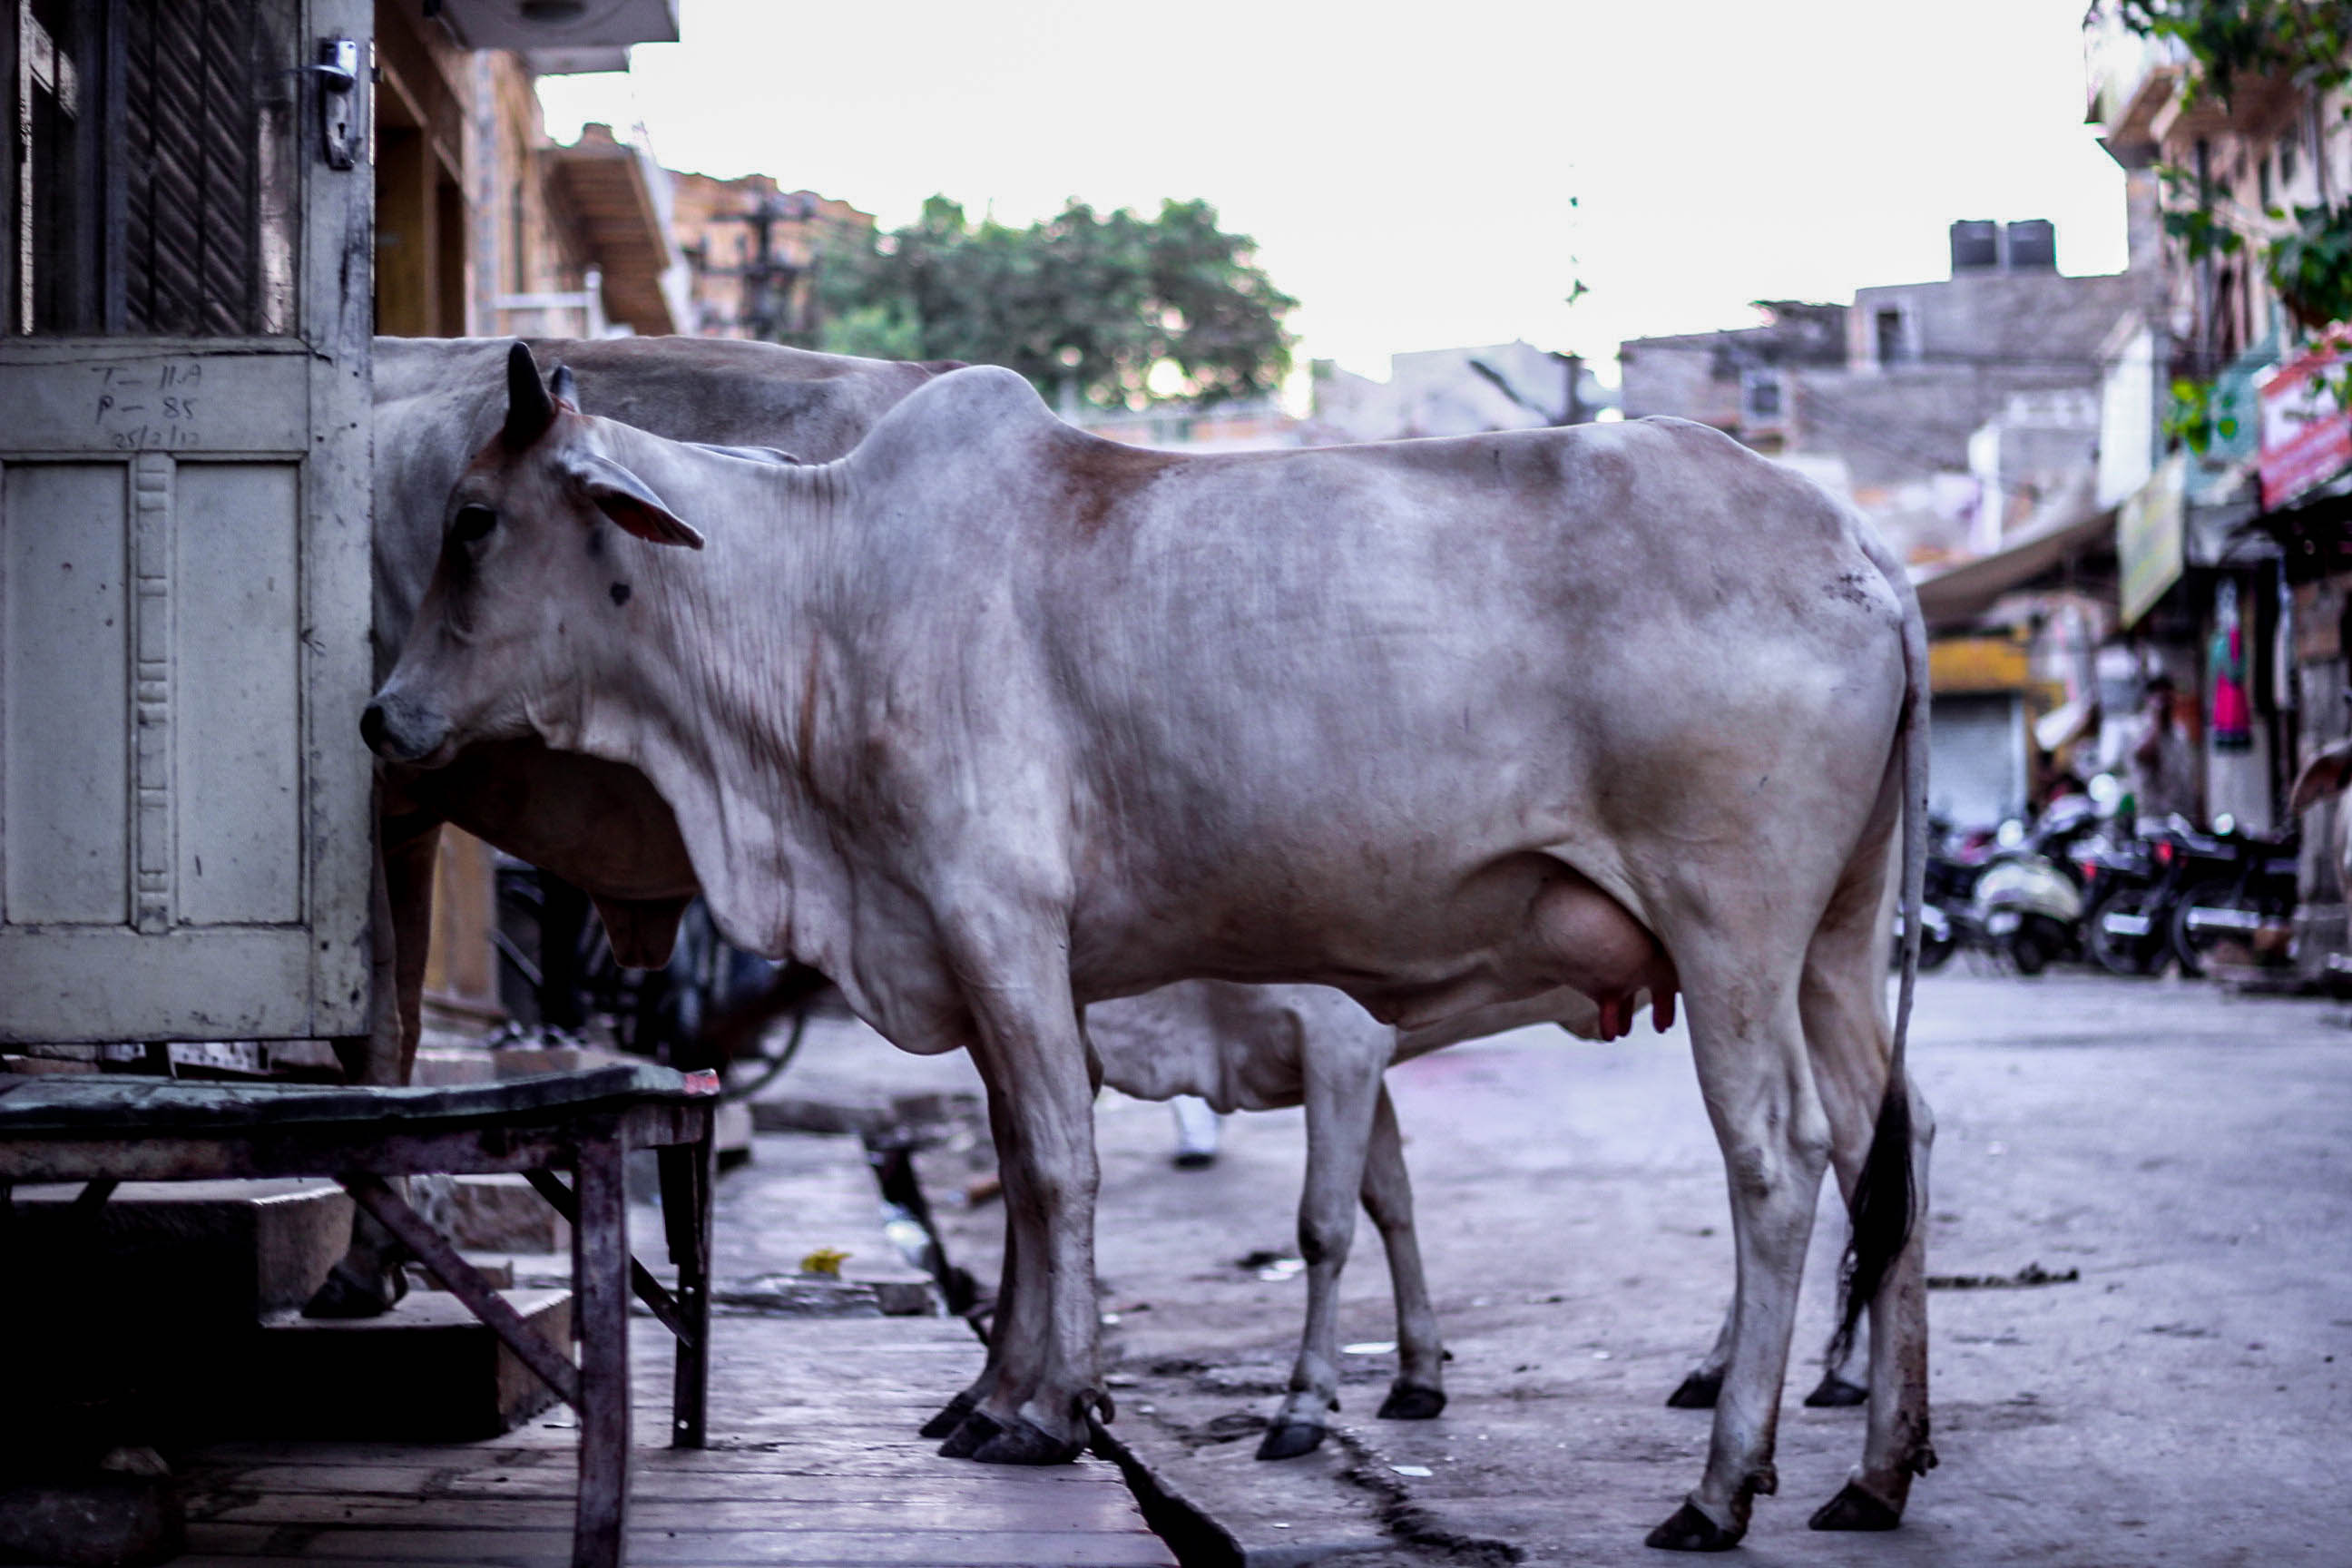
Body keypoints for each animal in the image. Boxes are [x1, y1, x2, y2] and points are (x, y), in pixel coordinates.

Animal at [367, 350, 1928, 1551]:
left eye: (476, 521)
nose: (383, 718)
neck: (819, 602)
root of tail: (1858, 553)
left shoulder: (997, 921)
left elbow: (1059, 1167)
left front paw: (1048, 1412)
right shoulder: (995, 960)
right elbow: (1028, 1174)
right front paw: (1006, 1394)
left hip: (1731, 931)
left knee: (1780, 1160)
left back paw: (1724, 1485)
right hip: (1835, 945)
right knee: (1881, 1149)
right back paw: (1876, 1471)